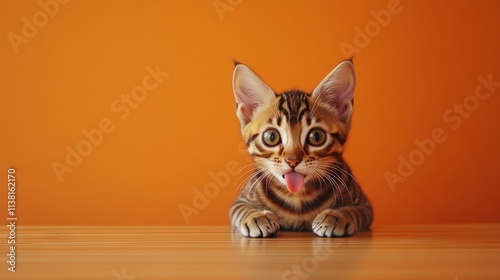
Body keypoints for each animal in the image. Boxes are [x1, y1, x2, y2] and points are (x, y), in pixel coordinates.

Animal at [229, 58, 372, 236]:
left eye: (316, 136)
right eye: (271, 137)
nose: (292, 161)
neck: (296, 197)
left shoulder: (365, 206)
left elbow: (354, 211)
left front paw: (335, 216)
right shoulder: (239, 203)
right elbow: (241, 210)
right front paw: (257, 216)